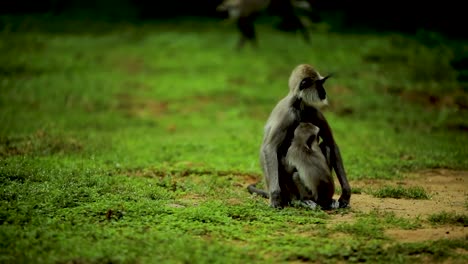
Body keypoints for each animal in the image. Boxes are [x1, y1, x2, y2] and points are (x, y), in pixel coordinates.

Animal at [249, 63, 352, 208]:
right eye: (319, 84)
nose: (324, 92)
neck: (298, 104)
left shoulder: (312, 110)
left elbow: (331, 143)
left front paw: (345, 195)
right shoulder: (287, 114)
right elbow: (270, 148)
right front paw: (275, 198)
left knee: (326, 145)